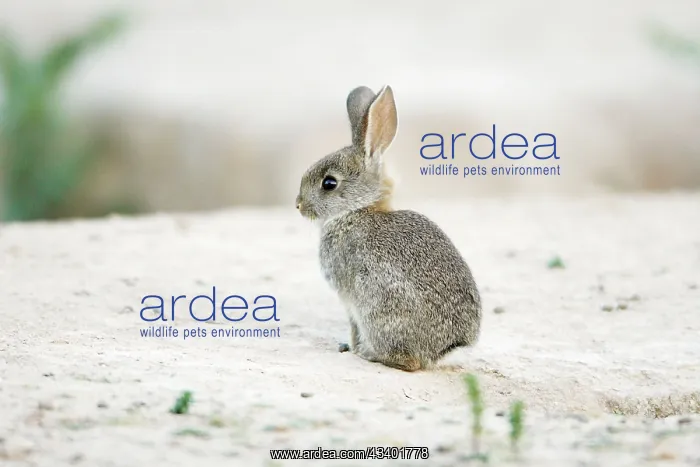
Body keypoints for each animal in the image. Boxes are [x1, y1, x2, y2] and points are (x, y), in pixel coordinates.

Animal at [295, 85, 481, 372]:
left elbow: (353, 328)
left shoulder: (350, 300)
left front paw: (353, 349)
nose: (299, 205)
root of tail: (444, 350)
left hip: (379, 310)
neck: (358, 210)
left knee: (409, 362)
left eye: (329, 183)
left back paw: (370, 355)